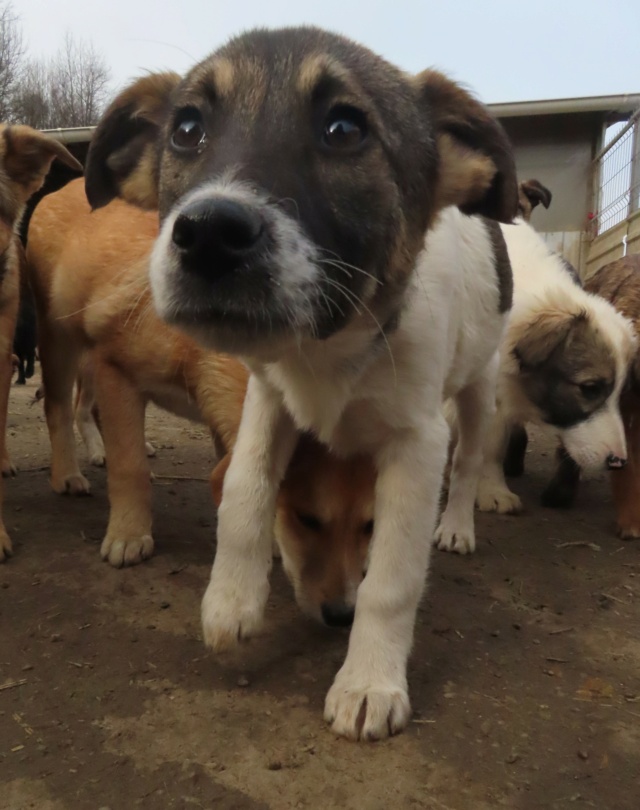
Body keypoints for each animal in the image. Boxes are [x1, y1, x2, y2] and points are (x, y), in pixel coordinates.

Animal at [82, 25, 516, 736]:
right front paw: (230, 600)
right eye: (187, 129)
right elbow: (244, 488)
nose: (208, 235)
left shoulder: (417, 443)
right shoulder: (269, 397)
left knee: (473, 458)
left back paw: (457, 527)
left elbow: (391, 579)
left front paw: (369, 682)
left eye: (344, 129)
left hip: (478, 387)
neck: (328, 352)